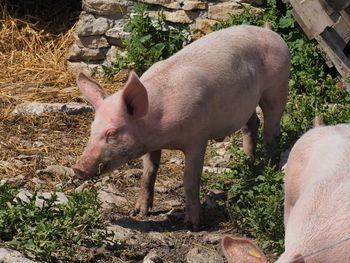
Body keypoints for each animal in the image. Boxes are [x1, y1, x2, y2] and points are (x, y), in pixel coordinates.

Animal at [71, 24, 290, 231]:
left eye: (112, 132)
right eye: (92, 128)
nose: (77, 168)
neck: (162, 133)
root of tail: (270, 32)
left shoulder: (197, 138)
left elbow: (190, 181)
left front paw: (193, 225)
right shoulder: (149, 144)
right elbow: (148, 173)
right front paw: (139, 212)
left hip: (277, 87)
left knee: (272, 130)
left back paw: (268, 168)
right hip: (246, 102)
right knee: (252, 123)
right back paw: (248, 163)